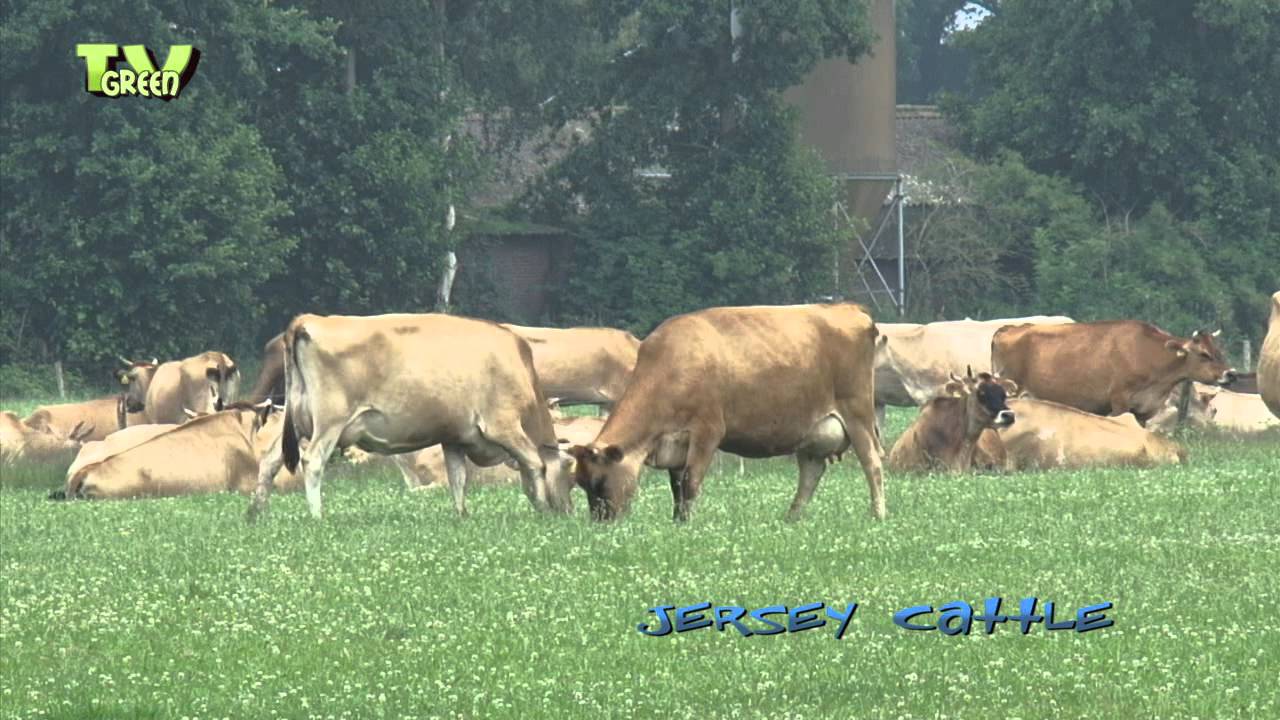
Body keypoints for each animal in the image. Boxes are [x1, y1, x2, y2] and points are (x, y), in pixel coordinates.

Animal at [246, 313, 568, 521]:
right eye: (569, 470)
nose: (569, 511)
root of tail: (308, 320)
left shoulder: (454, 437)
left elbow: (458, 478)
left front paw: (462, 515)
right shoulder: (503, 425)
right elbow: (534, 462)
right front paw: (543, 507)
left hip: (296, 421)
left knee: (270, 461)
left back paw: (256, 512)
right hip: (329, 422)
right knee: (312, 462)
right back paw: (317, 516)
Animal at [565, 303, 885, 523]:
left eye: (600, 482)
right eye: (581, 483)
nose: (600, 524)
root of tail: (848, 308)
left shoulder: (707, 431)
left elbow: (690, 483)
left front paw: (687, 524)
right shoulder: (677, 444)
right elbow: (676, 487)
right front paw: (677, 521)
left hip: (857, 414)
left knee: (872, 463)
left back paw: (878, 514)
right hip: (813, 431)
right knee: (811, 473)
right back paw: (791, 518)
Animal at [992, 321, 1238, 426]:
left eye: (1218, 350)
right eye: (1204, 354)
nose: (1231, 373)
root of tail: (1008, 328)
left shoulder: (1145, 410)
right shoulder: (1119, 402)